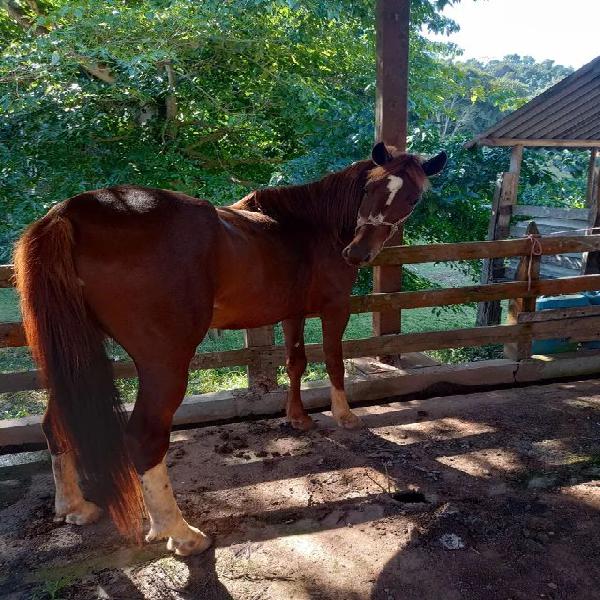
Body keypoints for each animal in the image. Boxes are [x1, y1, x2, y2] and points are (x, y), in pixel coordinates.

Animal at [12, 143, 446, 556]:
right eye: (370, 188)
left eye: (411, 199)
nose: (356, 253)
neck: (311, 226)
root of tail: (70, 212)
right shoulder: (334, 307)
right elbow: (334, 361)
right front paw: (345, 416)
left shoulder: (292, 312)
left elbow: (296, 362)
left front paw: (297, 417)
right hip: (164, 362)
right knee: (144, 439)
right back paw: (183, 535)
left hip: (76, 354)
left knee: (55, 422)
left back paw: (74, 507)